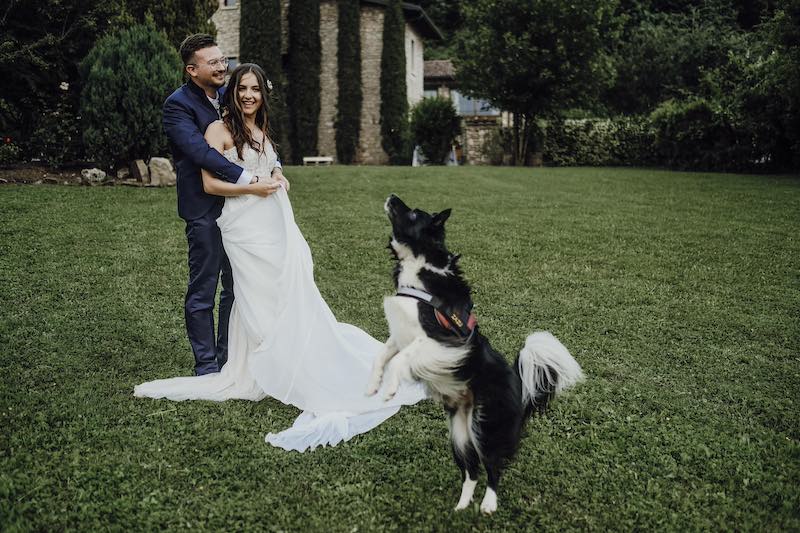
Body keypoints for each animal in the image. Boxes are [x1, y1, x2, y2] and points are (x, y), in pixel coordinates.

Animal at [366, 194, 584, 512]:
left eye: (414, 213)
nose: (392, 196)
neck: (420, 266)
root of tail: (521, 387)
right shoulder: (400, 334)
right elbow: (382, 355)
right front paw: (372, 385)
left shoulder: (443, 340)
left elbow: (402, 358)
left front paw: (391, 388)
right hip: (460, 431)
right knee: (471, 470)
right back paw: (461, 506)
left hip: (486, 425)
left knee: (493, 467)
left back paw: (488, 505)